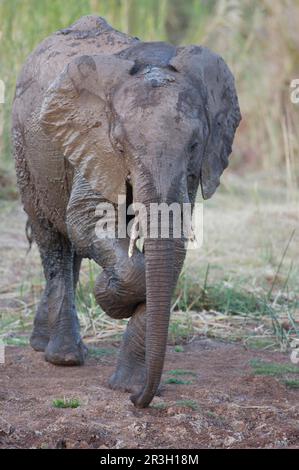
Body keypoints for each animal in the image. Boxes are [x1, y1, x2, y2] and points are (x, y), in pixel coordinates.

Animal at [12, 15, 241, 408]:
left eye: (195, 145)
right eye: (120, 146)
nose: (138, 399)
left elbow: (170, 245)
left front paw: (125, 385)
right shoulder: (91, 141)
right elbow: (86, 218)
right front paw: (109, 293)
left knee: (69, 251)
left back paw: (46, 344)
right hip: (23, 148)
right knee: (53, 241)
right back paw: (64, 356)